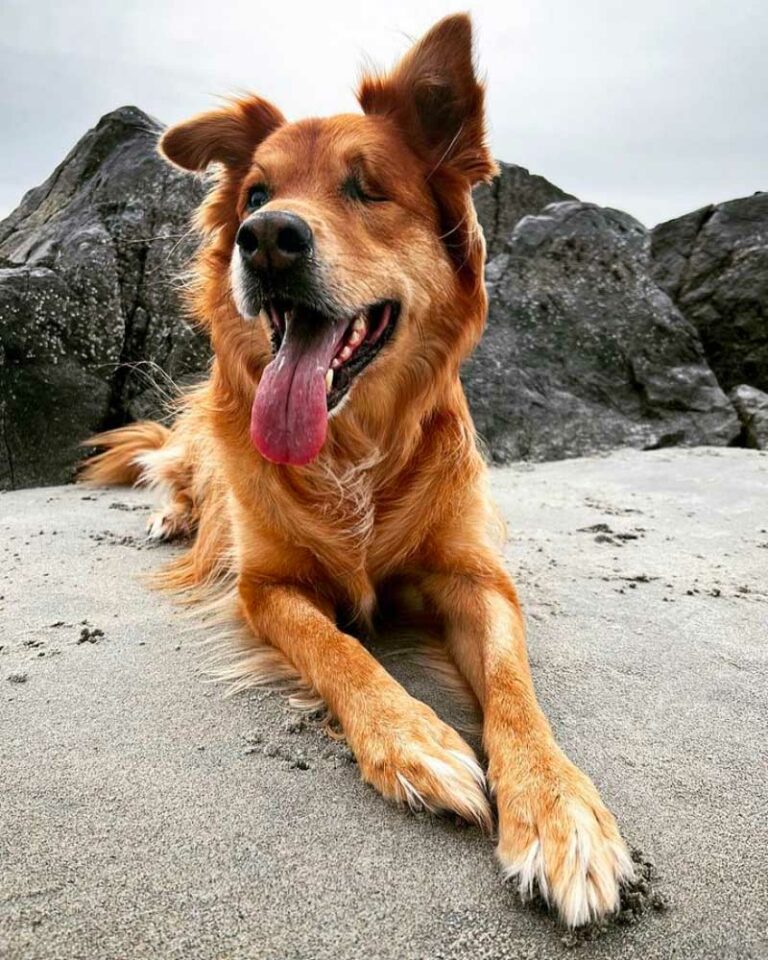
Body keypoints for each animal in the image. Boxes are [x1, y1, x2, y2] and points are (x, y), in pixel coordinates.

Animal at [82, 15, 636, 928]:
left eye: (367, 190)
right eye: (256, 196)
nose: (267, 240)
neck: (351, 452)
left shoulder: (475, 576)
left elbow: (514, 691)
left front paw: (560, 812)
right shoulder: (264, 585)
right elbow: (337, 648)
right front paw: (413, 740)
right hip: (199, 450)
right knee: (174, 468)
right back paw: (169, 517)